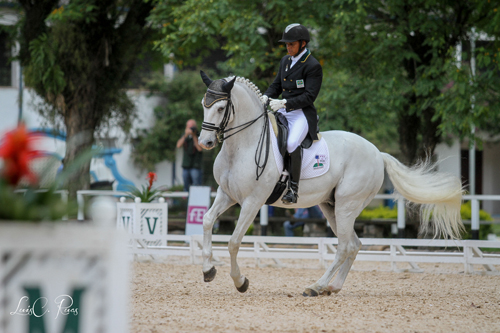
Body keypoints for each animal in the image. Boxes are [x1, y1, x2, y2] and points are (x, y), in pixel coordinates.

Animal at [197, 72, 462, 296]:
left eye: (220, 107)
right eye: (203, 105)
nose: (205, 142)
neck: (242, 145)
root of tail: (377, 153)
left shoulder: (253, 201)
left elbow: (234, 241)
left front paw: (240, 282)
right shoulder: (227, 194)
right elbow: (207, 221)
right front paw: (208, 270)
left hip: (347, 205)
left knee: (344, 246)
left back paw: (316, 287)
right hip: (331, 205)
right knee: (353, 244)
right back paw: (332, 287)